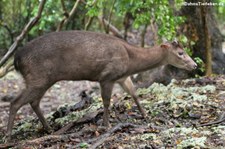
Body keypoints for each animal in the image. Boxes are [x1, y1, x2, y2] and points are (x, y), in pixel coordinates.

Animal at [4, 30, 196, 141]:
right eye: (181, 53)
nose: (194, 65)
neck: (130, 60)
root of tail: (17, 60)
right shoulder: (107, 76)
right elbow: (106, 101)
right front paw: (106, 124)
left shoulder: (122, 77)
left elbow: (134, 93)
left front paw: (146, 115)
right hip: (39, 77)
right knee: (15, 102)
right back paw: (8, 137)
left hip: (42, 79)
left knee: (34, 102)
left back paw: (50, 128)